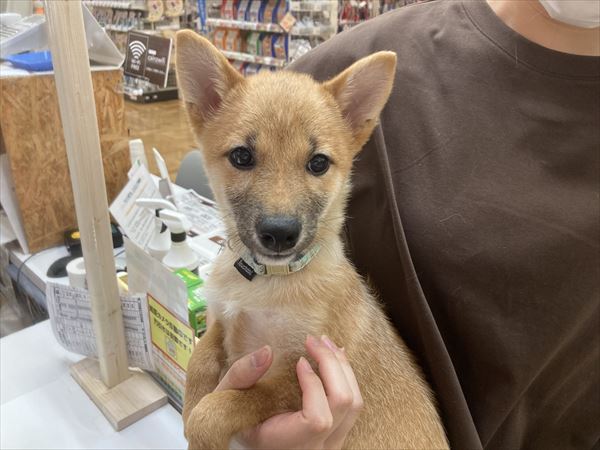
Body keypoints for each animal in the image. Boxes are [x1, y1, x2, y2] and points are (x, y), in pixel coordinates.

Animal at [175, 30, 448, 450]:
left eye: (318, 163)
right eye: (242, 156)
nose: (280, 233)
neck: (267, 283)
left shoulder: (299, 375)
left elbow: (225, 404)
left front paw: (201, 431)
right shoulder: (222, 321)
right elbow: (199, 360)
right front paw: (190, 405)